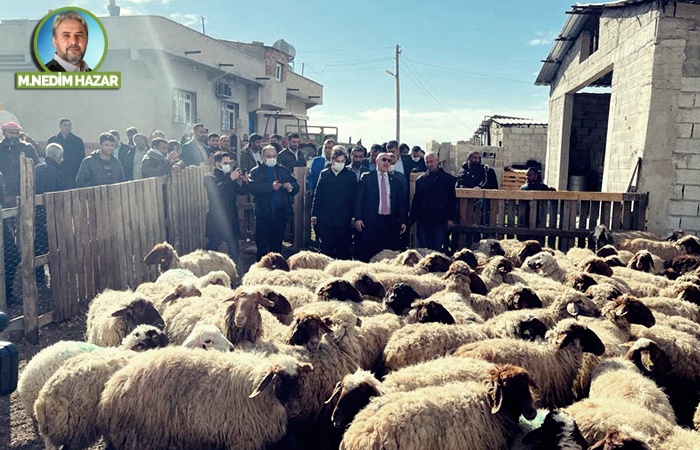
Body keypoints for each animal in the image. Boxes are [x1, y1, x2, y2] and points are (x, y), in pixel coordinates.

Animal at [100, 348, 314, 450]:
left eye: (298, 378)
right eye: (279, 378)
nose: (295, 408)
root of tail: (113, 385)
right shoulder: (244, 438)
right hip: (140, 438)